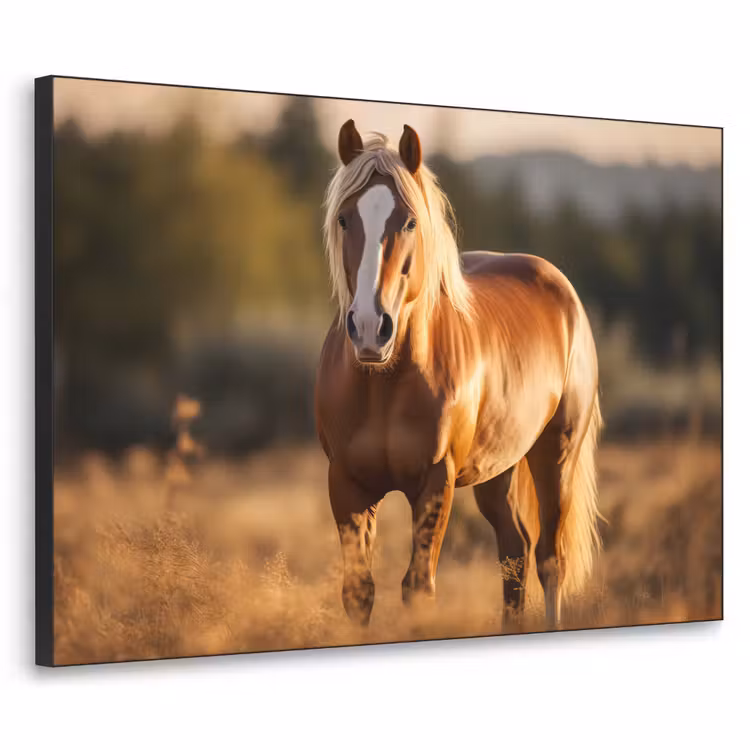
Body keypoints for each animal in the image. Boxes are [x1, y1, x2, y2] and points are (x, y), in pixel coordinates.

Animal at [314, 119, 602, 630]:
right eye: (345, 218)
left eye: (409, 221)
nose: (369, 328)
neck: (383, 384)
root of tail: (558, 284)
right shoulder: (346, 482)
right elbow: (358, 592)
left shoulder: (436, 481)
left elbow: (418, 588)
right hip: (498, 470)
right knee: (514, 553)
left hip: (556, 455)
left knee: (550, 561)